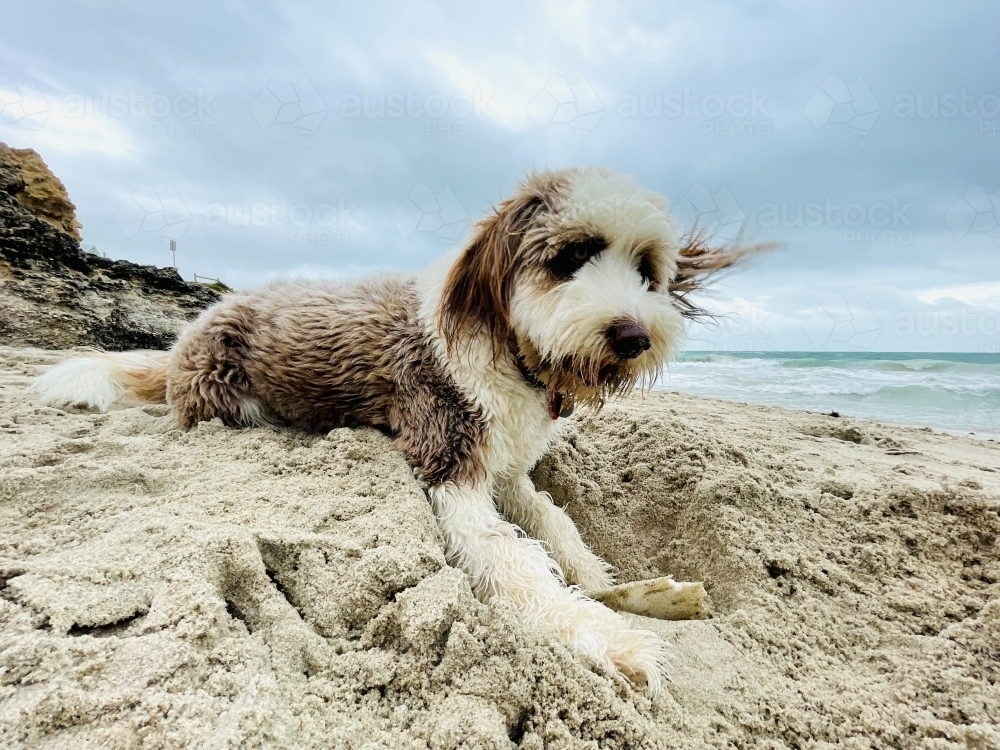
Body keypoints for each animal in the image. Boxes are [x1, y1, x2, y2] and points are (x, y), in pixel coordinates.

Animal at [37, 167, 756, 696]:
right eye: (572, 255)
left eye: (647, 270)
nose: (635, 336)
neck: (507, 348)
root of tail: (191, 327)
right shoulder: (450, 457)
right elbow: (512, 553)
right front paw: (599, 632)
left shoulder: (508, 467)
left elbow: (556, 525)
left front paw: (620, 590)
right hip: (225, 394)